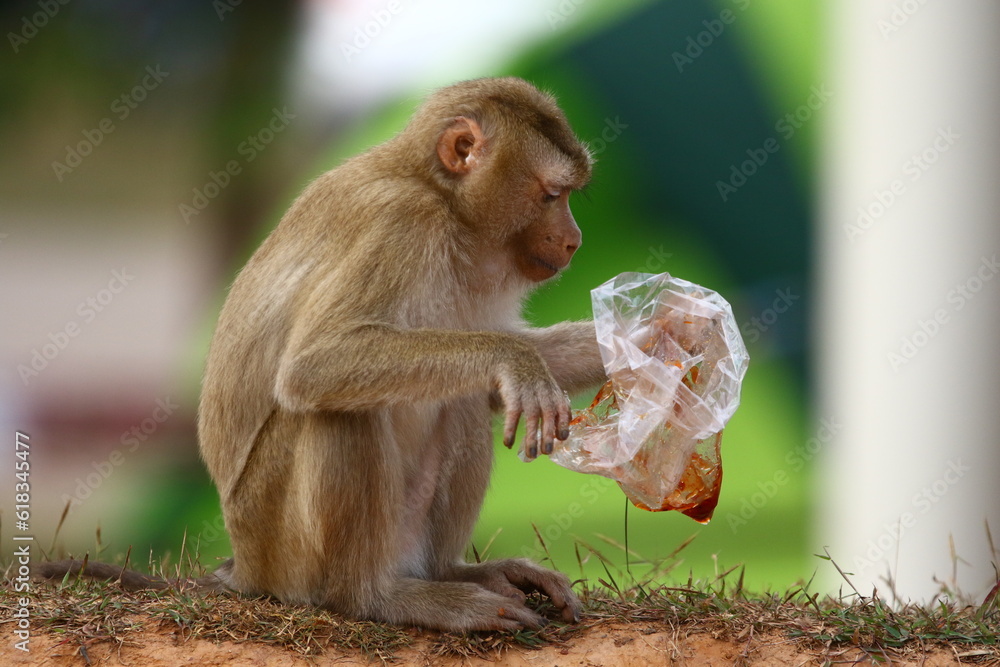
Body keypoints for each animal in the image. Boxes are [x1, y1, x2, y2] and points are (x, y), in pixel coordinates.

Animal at [39, 77, 607, 632]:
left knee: (457, 396)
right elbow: (315, 364)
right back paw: (375, 598)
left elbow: (488, 380)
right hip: (280, 547)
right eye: (552, 194)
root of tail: (243, 567)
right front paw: (518, 362)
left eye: (567, 195)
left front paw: (626, 342)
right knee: (338, 408)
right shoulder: (402, 223)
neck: (443, 201)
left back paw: (451, 572)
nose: (575, 240)